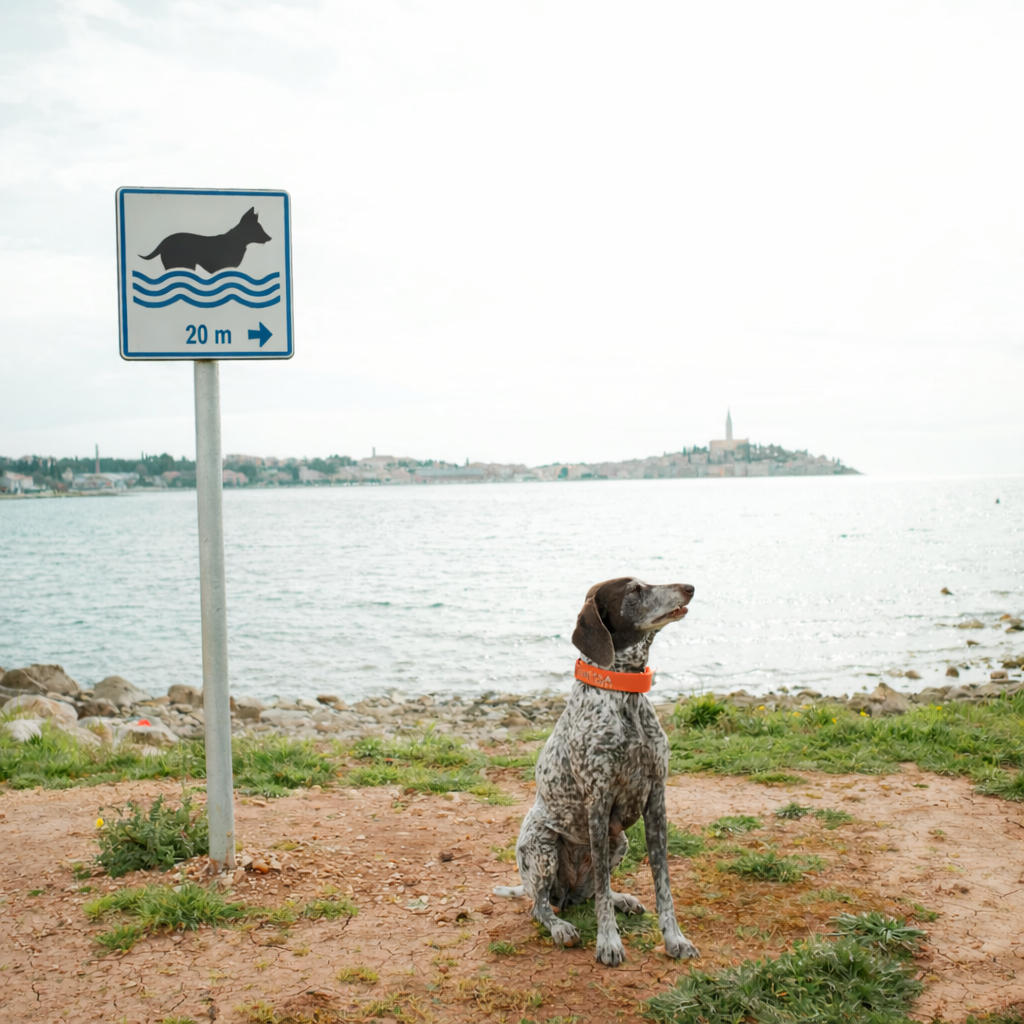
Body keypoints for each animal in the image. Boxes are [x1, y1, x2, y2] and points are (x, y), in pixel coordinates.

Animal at [494, 577, 700, 966]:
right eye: (634, 589)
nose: (690, 587)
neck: (625, 695)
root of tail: (566, 892)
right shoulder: (598, 803)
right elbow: (602, 893)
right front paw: (609, 943)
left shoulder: (657, 802)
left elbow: (663, 886)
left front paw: (675, 939)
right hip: (542, 845)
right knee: (542, 906)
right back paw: (561, 926)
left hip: (620, 841)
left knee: (588, 895)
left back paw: (623, 899)